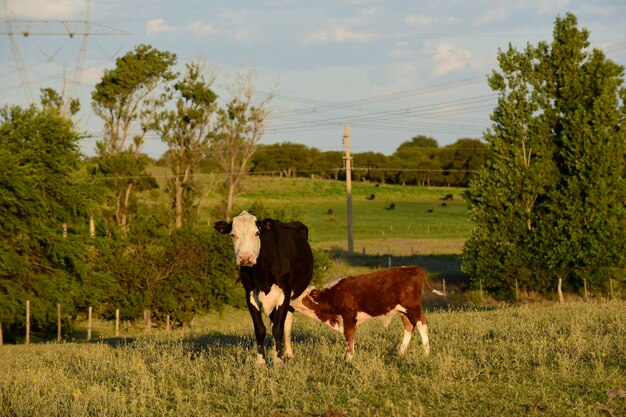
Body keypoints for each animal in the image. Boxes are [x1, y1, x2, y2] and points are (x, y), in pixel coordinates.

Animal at [214, 210, 312, 366]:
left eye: (257, 233)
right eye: (232, 234)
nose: (245, 258)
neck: (262, 274)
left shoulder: (284, 293)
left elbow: (278, 328)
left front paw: (278, 361)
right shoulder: (250, 294)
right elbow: (260, 329)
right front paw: (260, 362)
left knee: (286, 322)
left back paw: (288, 355)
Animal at [290, 266, 442, 360]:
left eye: (304, 292)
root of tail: (411, 268)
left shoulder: (349, 316)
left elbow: (349, 337)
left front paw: (348, 359)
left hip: (412, 308)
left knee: (422, 324)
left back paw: (426, 353)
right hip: (403, 311)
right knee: (409, 326)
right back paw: (400, 353)